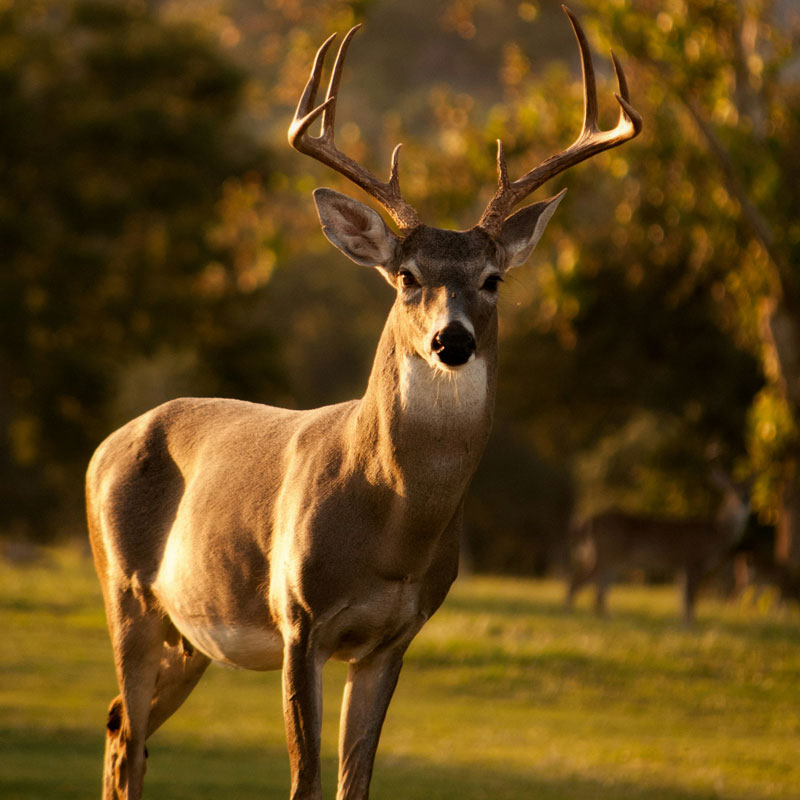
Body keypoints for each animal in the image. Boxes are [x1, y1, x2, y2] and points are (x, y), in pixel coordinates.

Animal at [84, 7, 640, 800]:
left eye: (494, 278)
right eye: (407, 276)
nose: (451, 340)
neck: (392, 525)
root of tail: (105, 446)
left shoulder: (393, 638)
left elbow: (356, 782)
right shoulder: (299, 619)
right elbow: (306, 781)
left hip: (190, 635)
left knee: (116, 727)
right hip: (126, 593)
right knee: (128, 738)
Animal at [564, 468, 752, 624]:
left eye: (749, 489)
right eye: (732, 489)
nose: (745, 500)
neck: (717, 533)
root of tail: (586, 522)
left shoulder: (681, 566)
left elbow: (682, 596)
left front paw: (682, 623)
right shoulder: (691, 561)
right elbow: (690, 598)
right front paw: (690, 625)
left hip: (611, 560)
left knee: (598, 590)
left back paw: (605, 617)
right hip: (606, 555)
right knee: (579, 581)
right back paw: (571, 613)